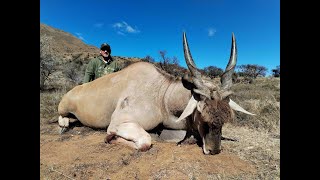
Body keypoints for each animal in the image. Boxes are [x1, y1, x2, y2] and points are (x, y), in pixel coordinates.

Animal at [56, 32, 254, 155]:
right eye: (201, 115)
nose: (214, 150)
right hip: (64, 107)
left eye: (224, 120)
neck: (162, 95)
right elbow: (144, 141)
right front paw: (110, 138)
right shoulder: (118, 124)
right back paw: (65, 124)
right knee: (62, 116)